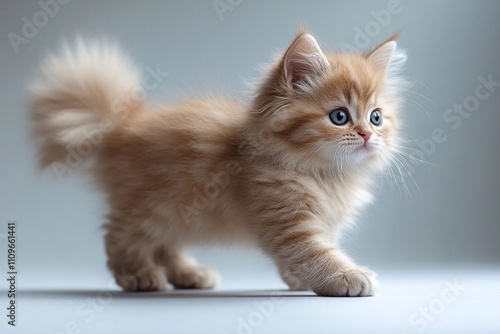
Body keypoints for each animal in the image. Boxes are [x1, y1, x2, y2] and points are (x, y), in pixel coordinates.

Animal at [30, 30, 406, 298]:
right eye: (339, 117)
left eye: (375, 117)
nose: (367, 135)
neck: (326, 175)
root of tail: (120, 122)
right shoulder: (287, 220)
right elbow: (315, 252)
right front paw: (346, 275)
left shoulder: (316, 222)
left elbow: (312, 251)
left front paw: (297, 279)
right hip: (151, 205)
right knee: (119, 235)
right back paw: (137, 275)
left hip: (175, 209)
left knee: (164, 244)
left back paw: (188, 274)